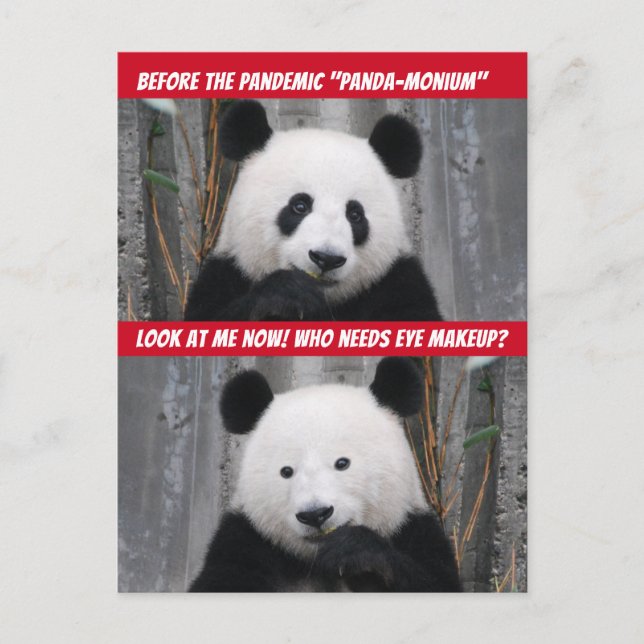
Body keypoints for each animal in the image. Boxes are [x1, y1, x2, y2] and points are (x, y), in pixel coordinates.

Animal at [184, 100, 444, 321]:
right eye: (299, 206)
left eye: (355, 215)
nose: (327, 258)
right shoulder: (226, 273)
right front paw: (287, 294)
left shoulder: (398, 283)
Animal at [189, 357, 460, 592]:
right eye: (286, 471)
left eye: (342, 463)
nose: (314, 514)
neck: (315, 561)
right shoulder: (244, 543)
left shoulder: (414, 529)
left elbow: (436, 583)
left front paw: (355, 552)